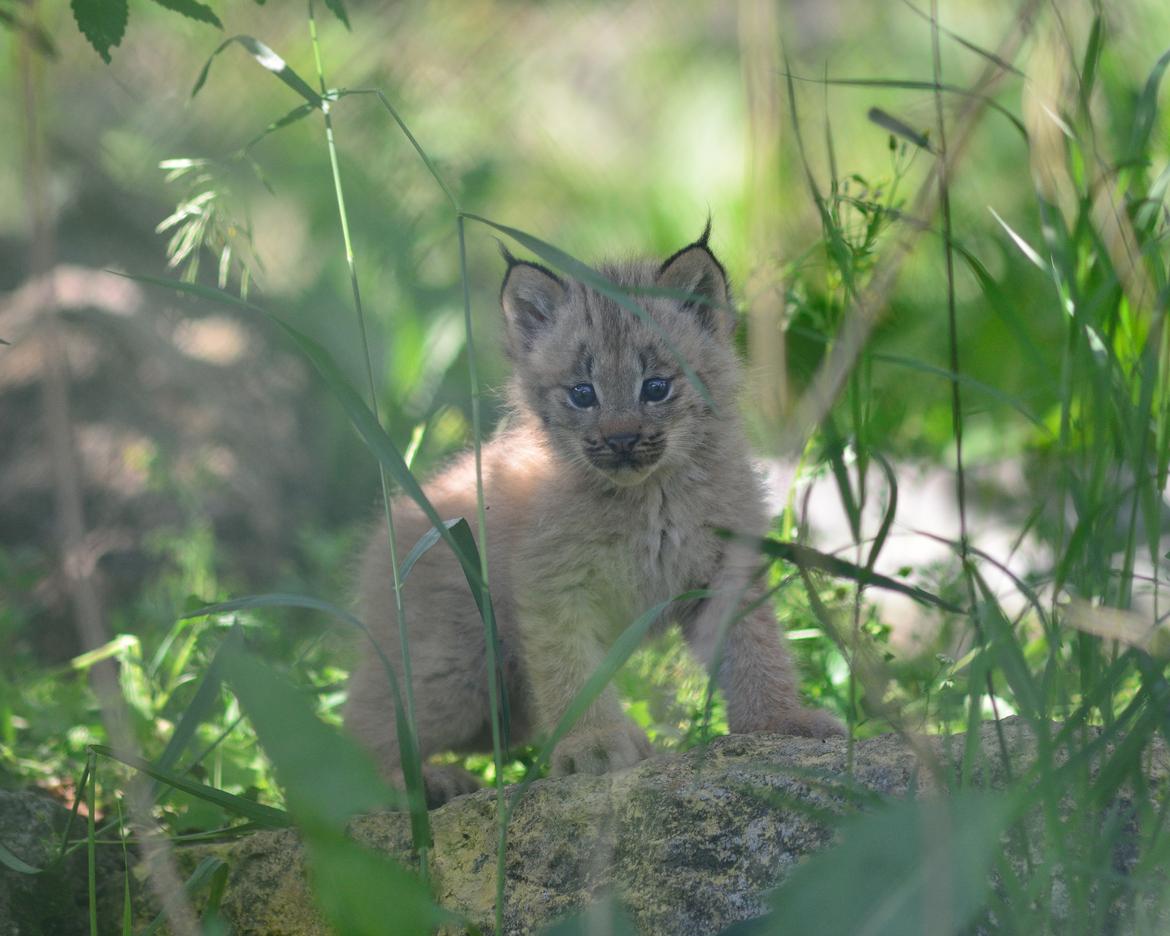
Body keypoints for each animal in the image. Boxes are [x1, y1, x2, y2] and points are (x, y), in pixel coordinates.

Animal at [341, 226, 847, 804]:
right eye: (583, 394)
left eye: (656, 387)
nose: (621, 440)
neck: (651, 496)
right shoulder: (552, 587)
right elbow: (569, 671)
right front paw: (594, 745)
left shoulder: (724, 567)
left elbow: (754, 646)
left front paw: (778, 722)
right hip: (457, 666)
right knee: (364, 724)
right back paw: (405, 784)